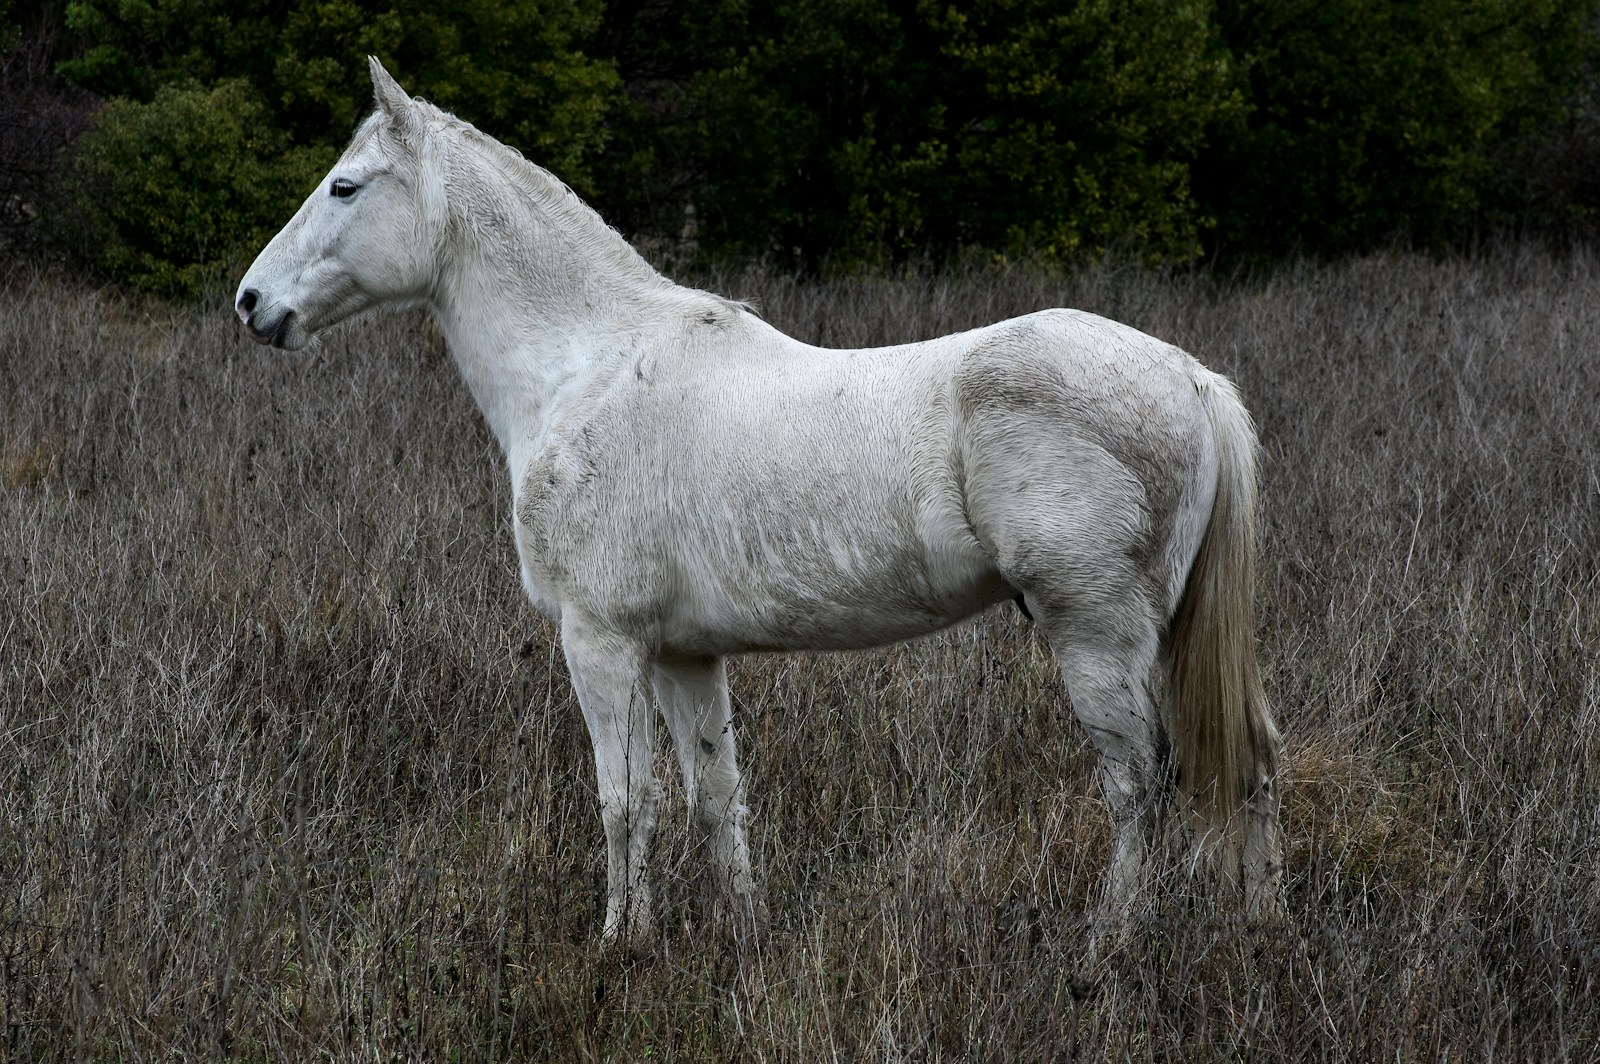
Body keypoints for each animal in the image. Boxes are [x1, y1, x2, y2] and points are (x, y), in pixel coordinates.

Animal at [236, 58, 1283, 947]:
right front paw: (741, 934)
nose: (252, 303)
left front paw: (620, 945)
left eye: (346, 186)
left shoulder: (600, 641)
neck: (587, 368)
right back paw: (1260, 931)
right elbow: (713, 797)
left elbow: (628, 802)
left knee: (1138, 785)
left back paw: (1110, 941)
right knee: (1252, 760)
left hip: (1095, 634)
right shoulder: (683, 655)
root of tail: (1194, 380)